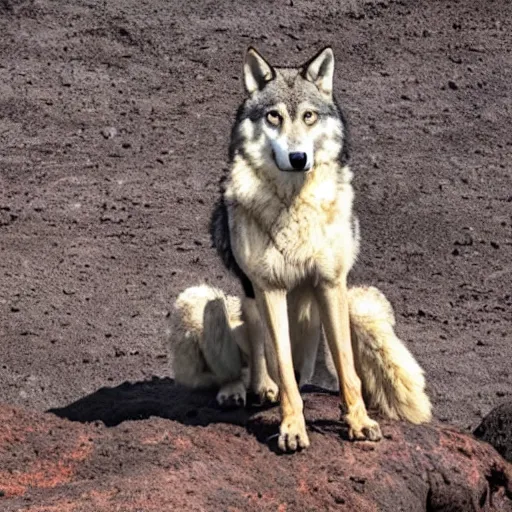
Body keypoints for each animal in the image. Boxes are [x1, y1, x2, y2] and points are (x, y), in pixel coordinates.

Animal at [169, 46, 432, 450]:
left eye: (309, 116)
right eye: (274, 116)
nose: (297, 158)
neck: (294, 207)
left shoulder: (331, 283)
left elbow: (347, 369)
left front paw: (359, 422)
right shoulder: (270, 288)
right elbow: (284, 371)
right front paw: (292, 428)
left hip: (361, 303)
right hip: (204, 300)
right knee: (244, 367)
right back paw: (244, 390)